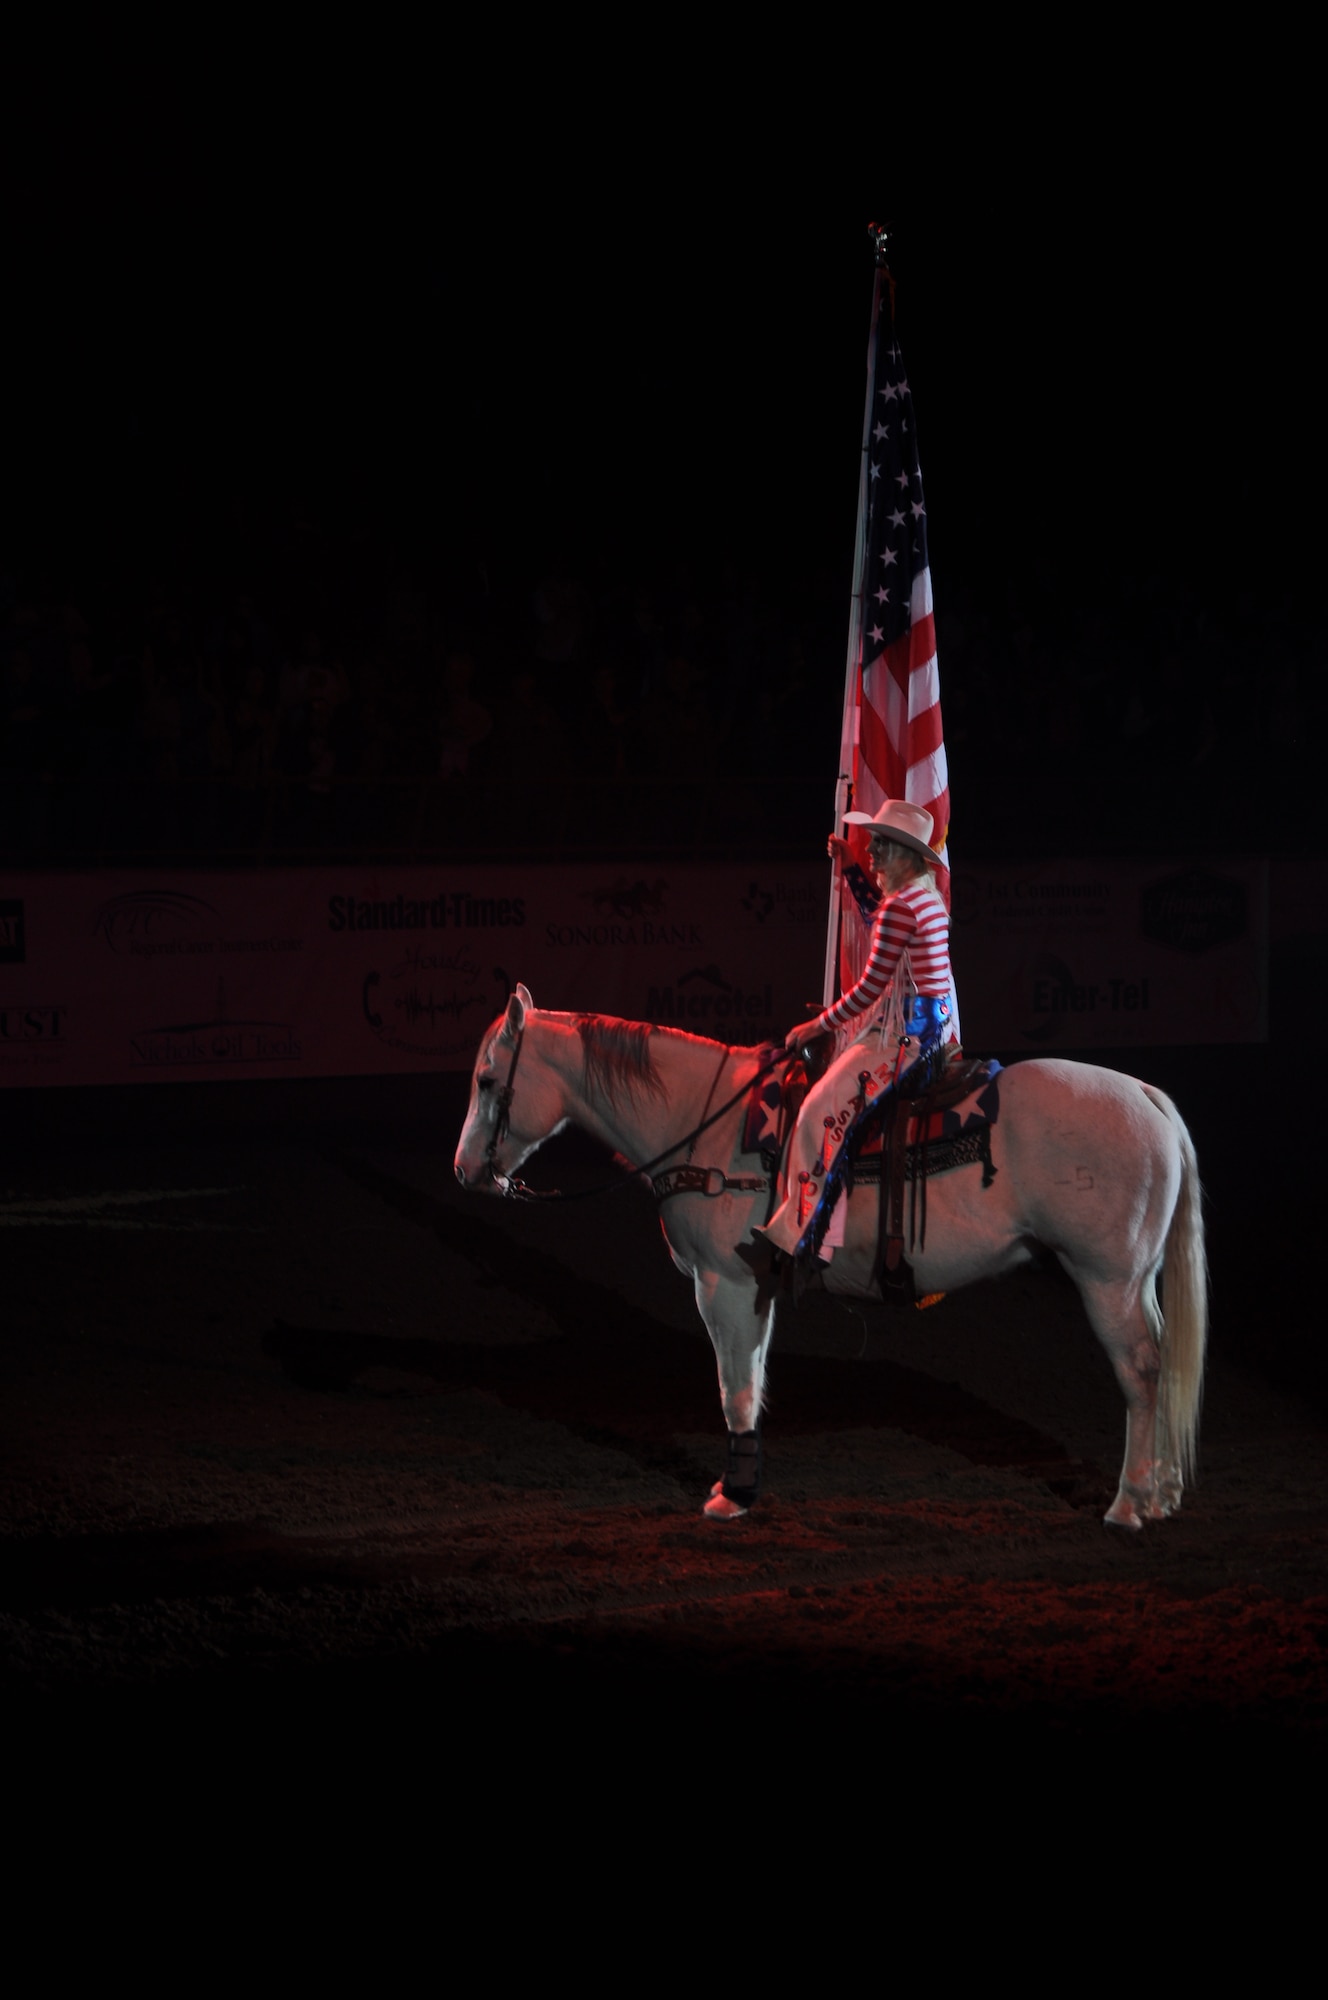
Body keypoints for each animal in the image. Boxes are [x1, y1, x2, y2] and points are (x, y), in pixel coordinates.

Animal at [454, 984, 1200, 1528]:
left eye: (488, 1081)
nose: (465, 1171)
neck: (709, 1128)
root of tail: (1146, 1096)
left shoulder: (722, 1284)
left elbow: (733, 1386)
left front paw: (732, 1495)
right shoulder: (754, 1288)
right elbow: (752, 1381)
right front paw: (745, 1481)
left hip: (1106, 1280)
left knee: (1140, 1373)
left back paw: (1130, 1504)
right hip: (1135, 1282)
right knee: (1164, 1364)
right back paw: (1163, 1492)